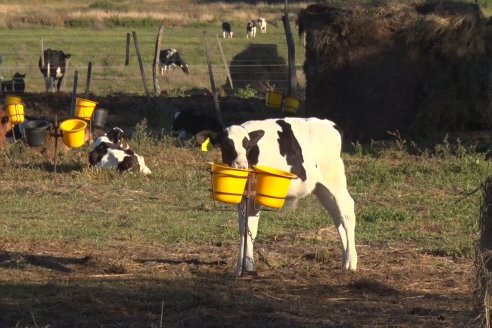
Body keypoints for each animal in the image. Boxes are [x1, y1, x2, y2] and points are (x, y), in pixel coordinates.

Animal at [196, 116, 358, 276]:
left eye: (247, 146)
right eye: (227, 145)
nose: (241, 165)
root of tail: (332, 124)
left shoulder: (255, 197)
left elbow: (251, 229)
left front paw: (249, 267)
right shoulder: (242, 198)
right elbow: (243, 230)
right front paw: (239, 269)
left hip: (335, 180)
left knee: (347, 212)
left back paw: (352, 263)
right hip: (321, 188)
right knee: (337, 216)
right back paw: (345, 262)